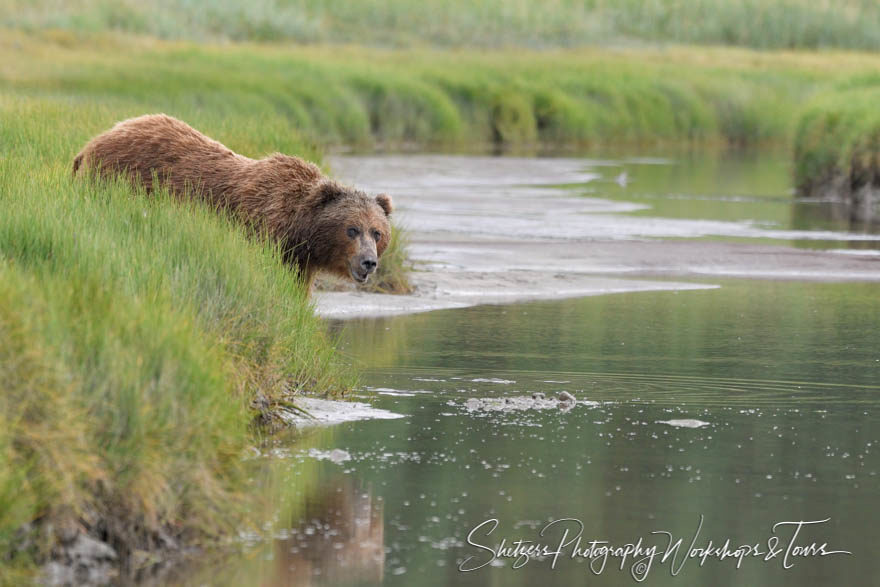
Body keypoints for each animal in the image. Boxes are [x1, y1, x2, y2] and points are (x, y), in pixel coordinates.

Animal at [74, 113, 390, 290]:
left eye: (377, 232)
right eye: (352, 229)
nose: (369, 262)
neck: (300, 228)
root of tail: (91, 143)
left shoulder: (299, 262)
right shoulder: (264, 233)